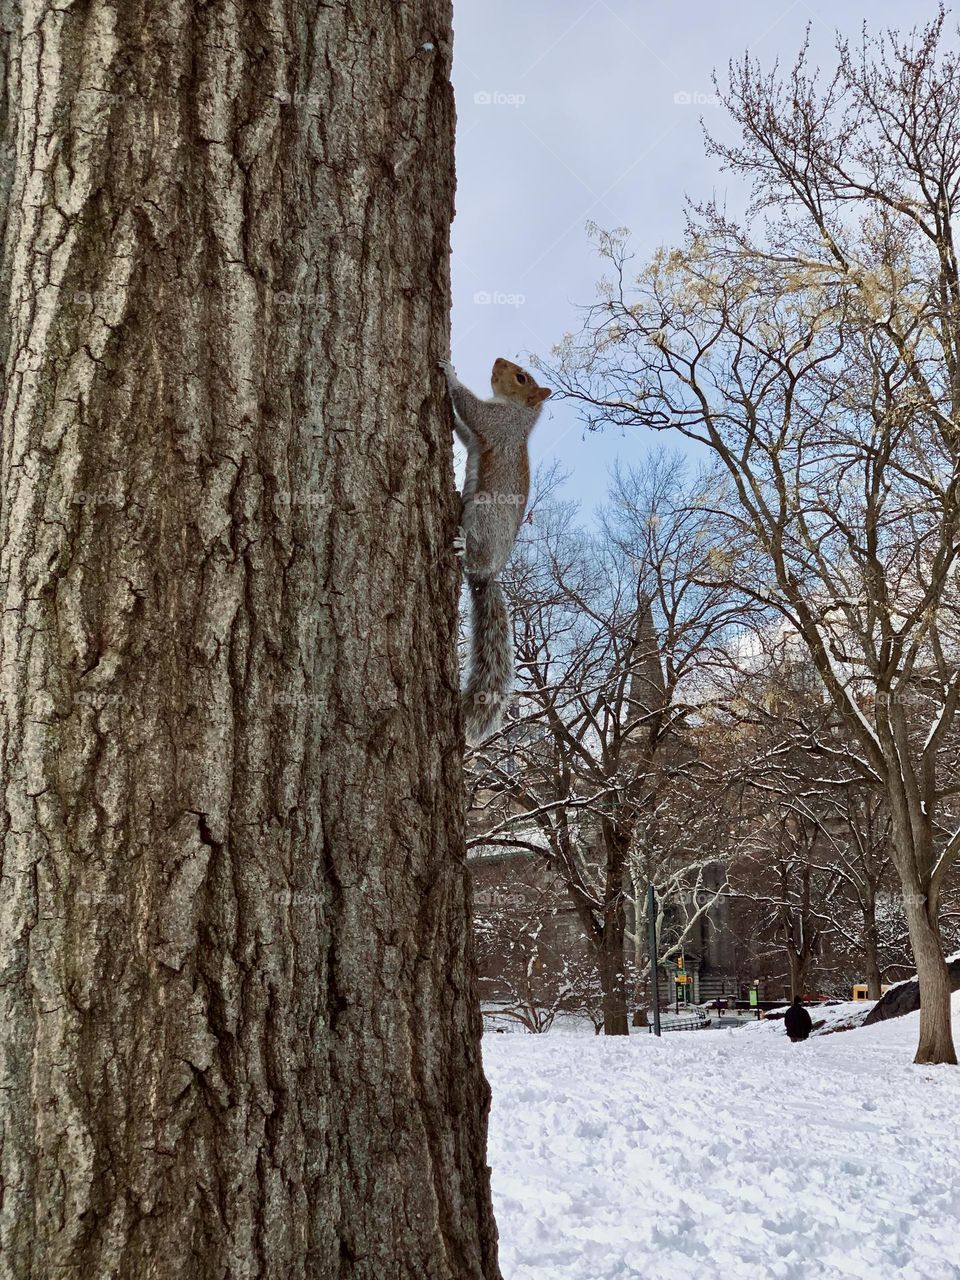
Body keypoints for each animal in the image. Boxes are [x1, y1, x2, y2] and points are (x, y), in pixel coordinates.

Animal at [439, 356, 551, 744]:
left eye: (521, 377)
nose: (498, 360)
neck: (518, 411)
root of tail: (488, 573)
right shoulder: (484, 432)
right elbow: (466, 431)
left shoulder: (499, 424)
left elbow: (474, 412)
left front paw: (449, 373)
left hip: (485, 515)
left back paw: (462, 545)